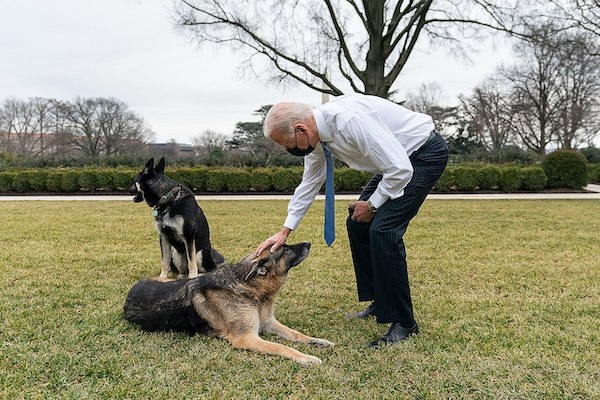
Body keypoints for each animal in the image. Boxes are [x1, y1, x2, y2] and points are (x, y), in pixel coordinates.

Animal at [124, 241, 336, 366]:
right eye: (285, 248)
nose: (309, 243)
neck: (250, 287)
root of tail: (130, 294)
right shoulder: (247, 338)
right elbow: (282, 347)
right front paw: (306, 357)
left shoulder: (269, 323)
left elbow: (297, 334)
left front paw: (318, 341)